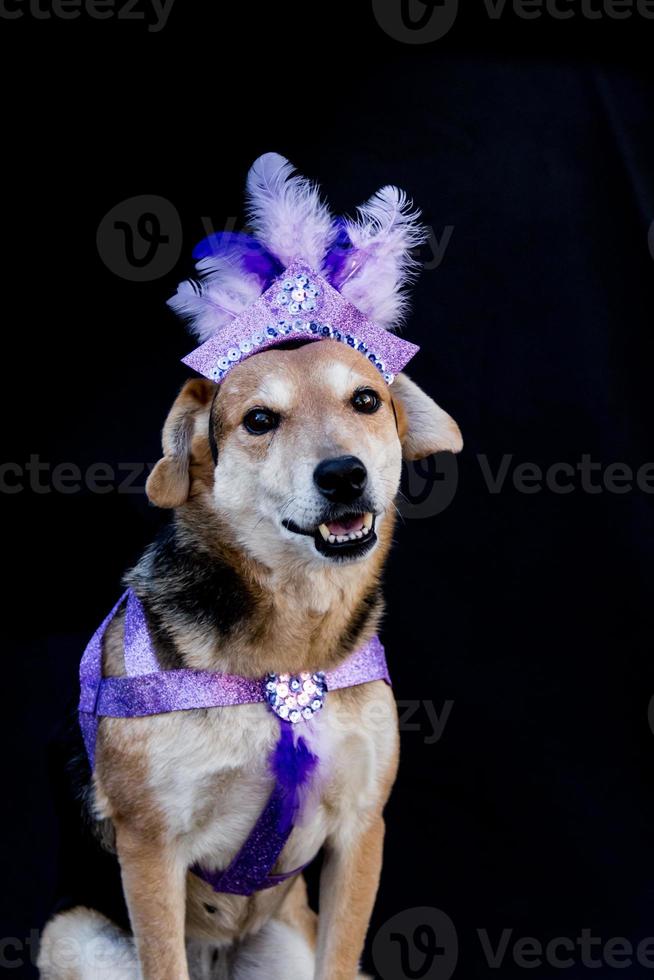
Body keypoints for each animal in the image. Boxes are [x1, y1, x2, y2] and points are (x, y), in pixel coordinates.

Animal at [38, 157, 464, 976]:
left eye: (366, 400)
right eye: (259, 420)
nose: (344, 475)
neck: (287, 650)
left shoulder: (361, 830)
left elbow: (341, 953)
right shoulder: (150, 849)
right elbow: (163, 955)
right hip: (71, 934)